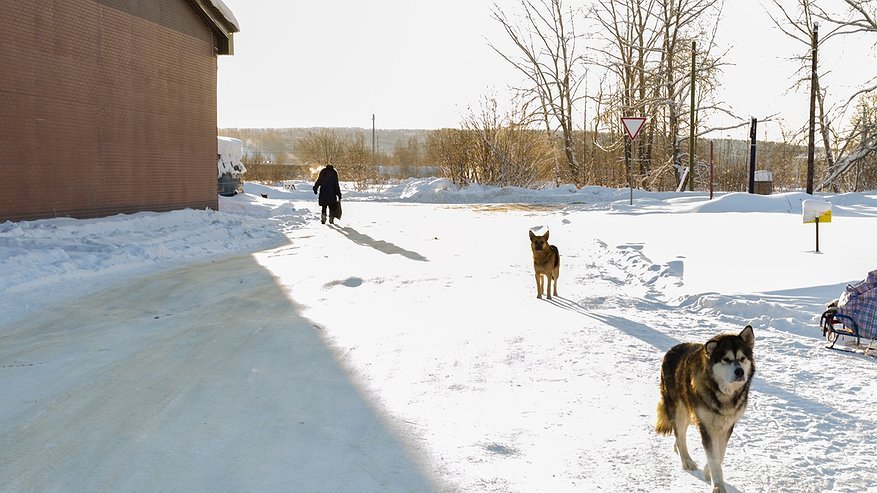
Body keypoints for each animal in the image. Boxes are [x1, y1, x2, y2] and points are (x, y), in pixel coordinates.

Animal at [656, 324, 752, 490]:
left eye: (742, 358)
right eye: (726, 359)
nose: (739, 372)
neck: (723, 394)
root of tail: (672, 350)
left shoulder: (727, 425)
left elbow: (720, 453)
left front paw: (708, 472)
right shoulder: (706, 426)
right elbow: (713, 457)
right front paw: (718, 486)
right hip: (680, 410)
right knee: (680, 436)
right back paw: (686, 460)